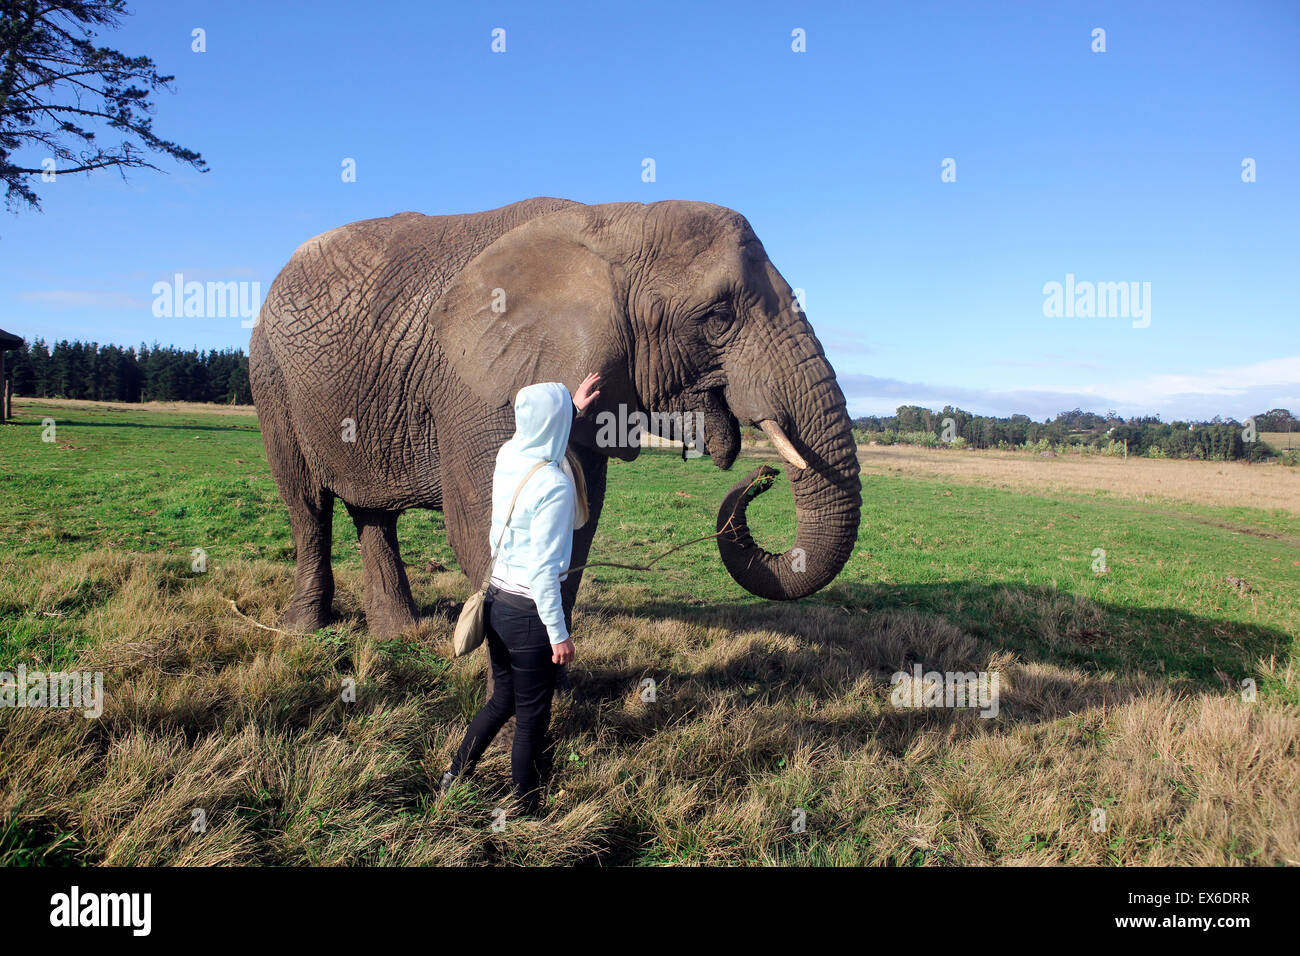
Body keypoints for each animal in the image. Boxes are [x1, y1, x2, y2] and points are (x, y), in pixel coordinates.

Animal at [250, 197, 863, 639]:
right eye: (717, 317)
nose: (764, 476)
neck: (612, 224)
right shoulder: (478, 388)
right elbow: (482, 525)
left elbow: (575, 528)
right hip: (270, 377)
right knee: (307, 506)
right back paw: (303, 632)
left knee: (371, 512)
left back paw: (396, 637)